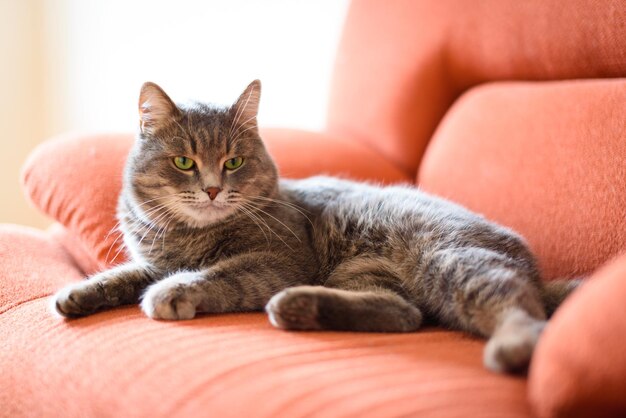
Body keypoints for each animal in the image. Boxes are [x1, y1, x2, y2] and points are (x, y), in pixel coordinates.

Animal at [52, 80, 576, 374]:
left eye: (233, 161)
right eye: (184, 162)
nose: (213, 190)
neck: (187, 238)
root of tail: (537, 271)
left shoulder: (280, 259)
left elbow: (219, 274)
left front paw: (175, 291)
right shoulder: (152, 262)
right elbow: (121, 276)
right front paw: (78, 294)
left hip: (450, 260)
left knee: (522, 312)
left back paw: (511, 347)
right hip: (364, 276)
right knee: (405, 314)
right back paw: (300, 307)